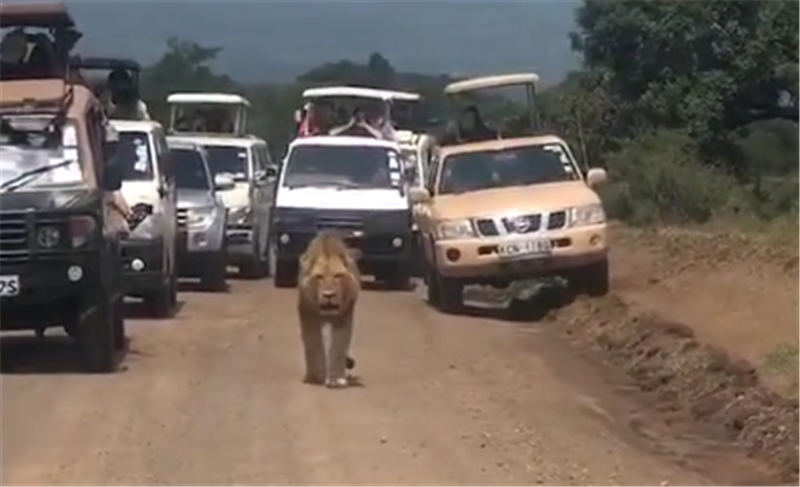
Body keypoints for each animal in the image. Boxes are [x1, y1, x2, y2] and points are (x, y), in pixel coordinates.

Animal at [298, 232, 360, 388]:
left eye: (337, 275)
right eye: (319, 277)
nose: (328, 295)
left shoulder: (343, 317)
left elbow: (339, 348)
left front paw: (336, 379)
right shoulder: (308, 316)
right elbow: (313, 345)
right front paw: (315, 377)